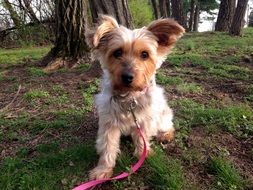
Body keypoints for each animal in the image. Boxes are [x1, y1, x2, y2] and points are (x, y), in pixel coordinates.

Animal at [85, 15, 184, 180]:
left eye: (145, 54)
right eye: (117, 52)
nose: (127, 77)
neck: (129, 96)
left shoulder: (144, 119)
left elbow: (142, 137)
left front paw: (143, 153)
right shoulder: (109, 122)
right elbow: (107, 145)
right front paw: (103, 169)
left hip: (162, 116)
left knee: (167, 125)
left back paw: (166, 135)